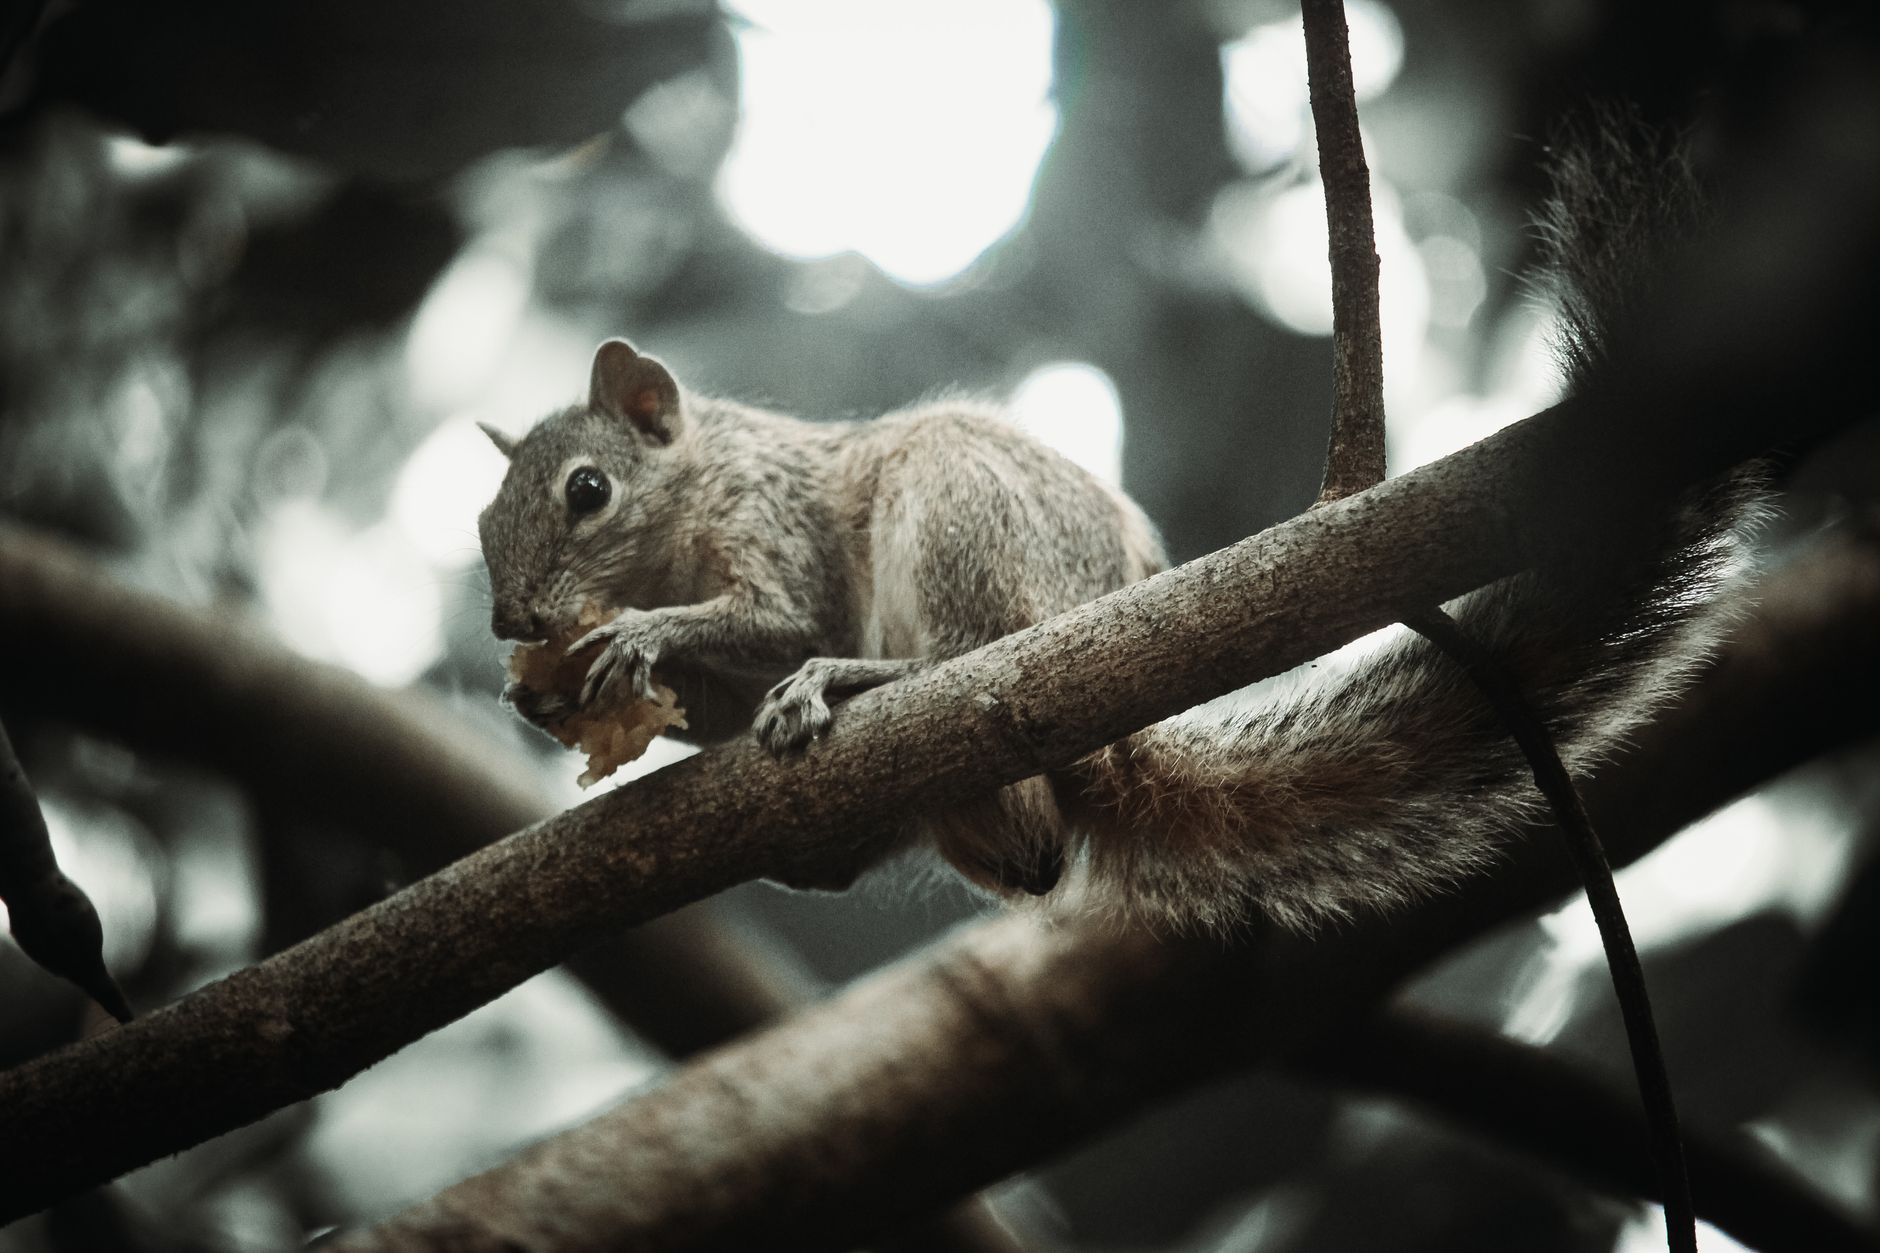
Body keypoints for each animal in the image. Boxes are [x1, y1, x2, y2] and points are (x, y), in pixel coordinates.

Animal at [477, 130, 1750, 933]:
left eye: (586, 491)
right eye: (485, 521)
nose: (509, 618)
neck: (691, 493)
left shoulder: (771, 515)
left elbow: (774, 614)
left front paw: (642, 635)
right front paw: (545, 696)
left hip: (958, 515)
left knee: (954, 660)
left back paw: (855, 678)